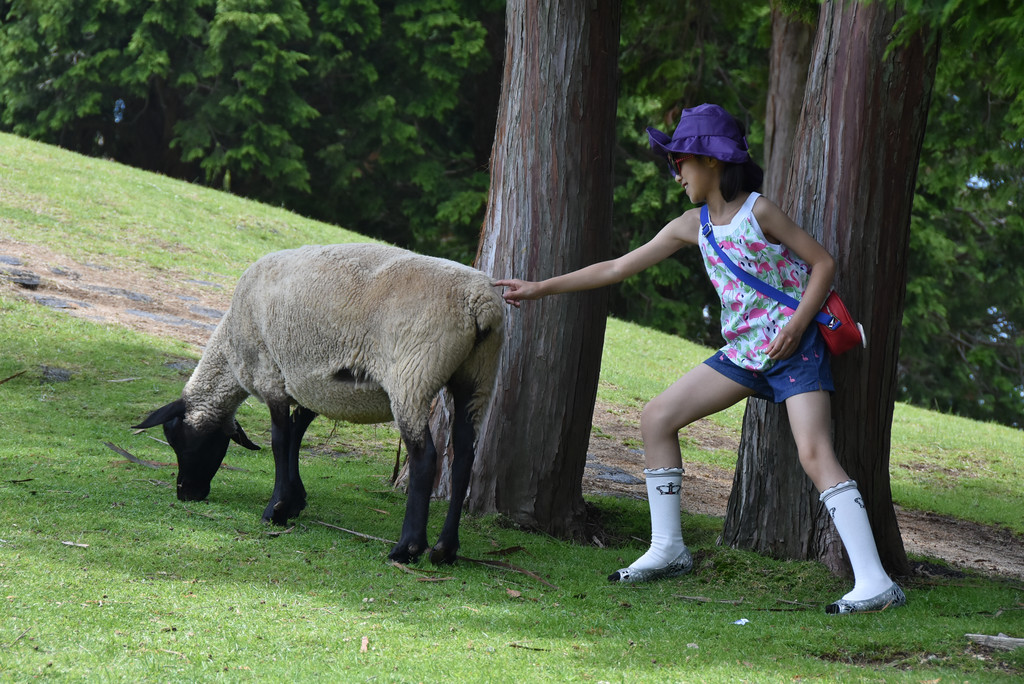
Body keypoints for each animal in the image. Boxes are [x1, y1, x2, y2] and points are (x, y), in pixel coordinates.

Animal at [135, 242, 503, 565]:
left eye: (180, 442)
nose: (185, 493)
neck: (230, 348)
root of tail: (481, 304)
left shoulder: (271, 375)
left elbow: (279, 440)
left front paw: (275, 508)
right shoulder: (308, 384)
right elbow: (296, 436)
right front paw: (294, 501)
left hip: (412, 376)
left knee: (425, 458)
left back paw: (407, 548)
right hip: (477, 379)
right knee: (463, 459)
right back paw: (445, 550)